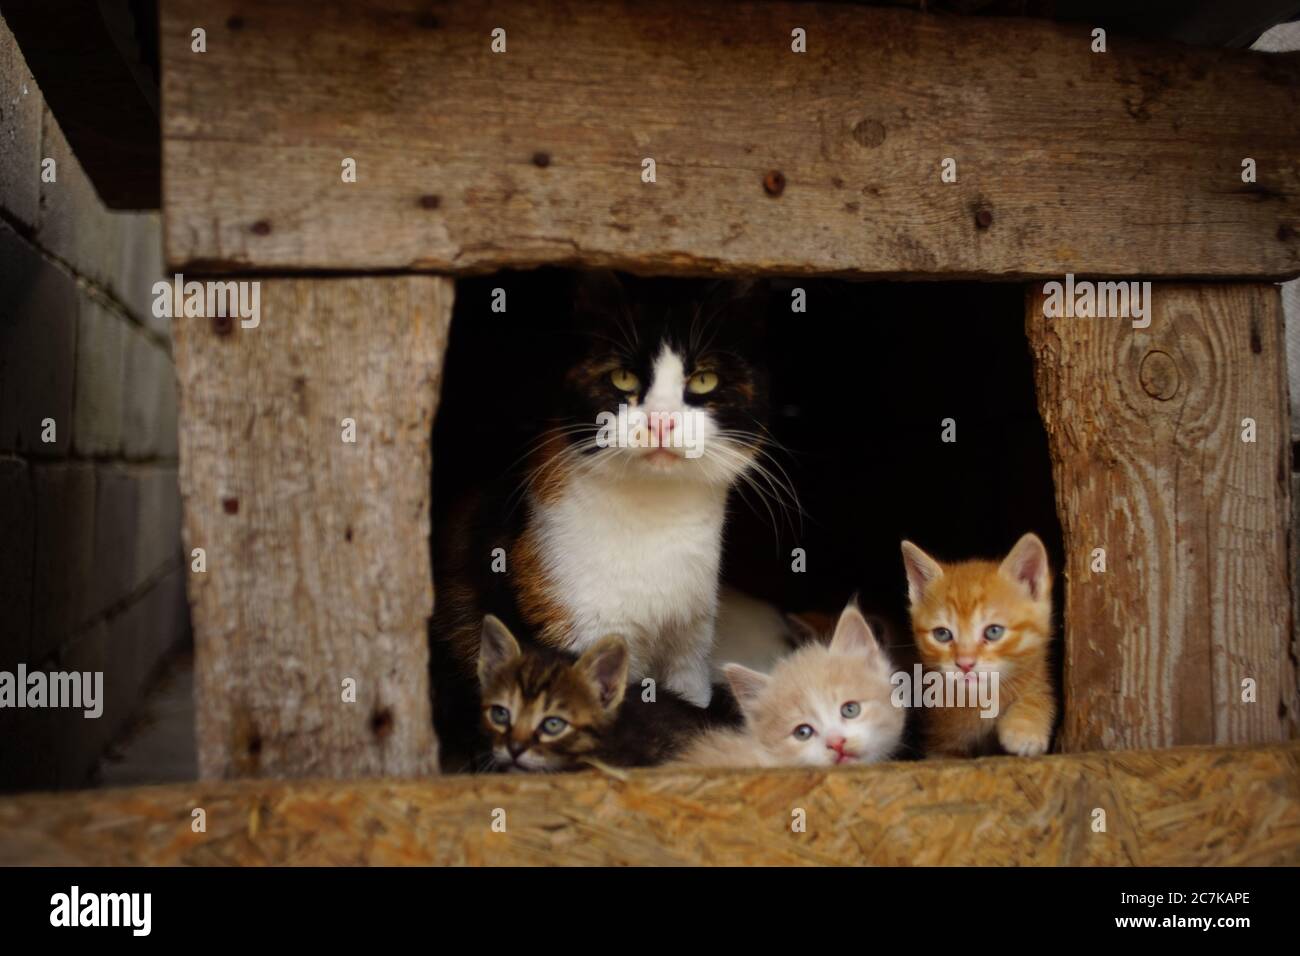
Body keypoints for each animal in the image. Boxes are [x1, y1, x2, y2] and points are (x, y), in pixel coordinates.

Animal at [904, 535, 1055, 759]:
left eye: (994, 631)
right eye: (942, 634)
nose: (965, 664)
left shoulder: (1037, 673)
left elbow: (1039, 694)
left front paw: (1025, 728)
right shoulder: (939, 740)